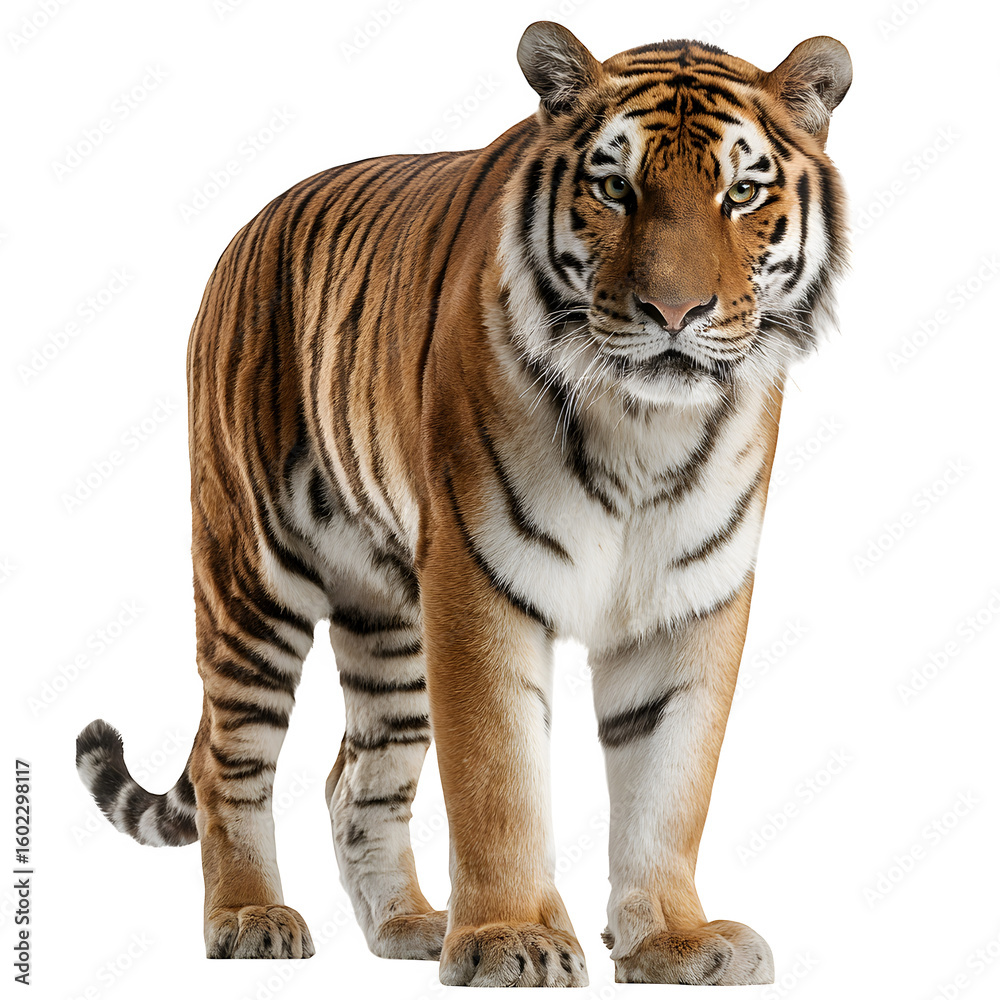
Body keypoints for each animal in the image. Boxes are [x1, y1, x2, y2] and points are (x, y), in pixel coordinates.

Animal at [75, 20, 851, 986]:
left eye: (742, 192)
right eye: (615, 187)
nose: (675, 311)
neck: (644, 427)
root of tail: (247, 232)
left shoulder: (689, 601)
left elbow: (671, 784)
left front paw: (673, 940)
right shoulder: (481, 581)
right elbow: (497, 779)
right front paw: (511, 938)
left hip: (392, 620)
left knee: (354, 779)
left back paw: (410, 924)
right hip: (249, 576)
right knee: (231, 762)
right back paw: (252, 918)